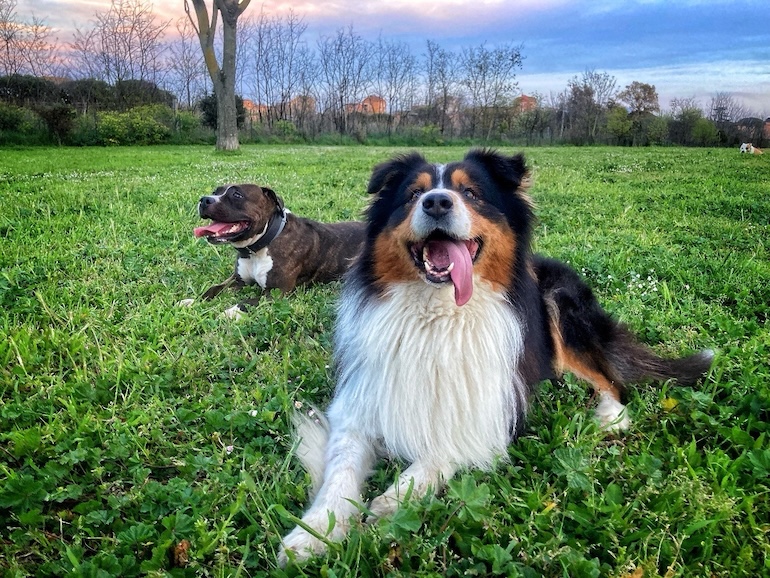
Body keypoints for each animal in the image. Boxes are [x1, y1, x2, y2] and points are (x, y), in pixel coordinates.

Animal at [188, 183, 364, 318]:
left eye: (237, 195)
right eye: (214, 192)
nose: (204, 200)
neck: (257, 248)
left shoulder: (275, 292)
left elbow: (247, 302)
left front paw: (229, 312)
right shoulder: (238, 280)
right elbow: (213, 288)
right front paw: (192, 301)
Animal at [278, 147, 712, 564]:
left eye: (471, 193)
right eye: (413, 194)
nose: (437, 202)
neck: (438, 315)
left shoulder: (490, 407)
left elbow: (443, 448)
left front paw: (392, 500)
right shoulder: (359, 403)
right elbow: (339, 473)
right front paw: (312, 534)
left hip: (559, 305)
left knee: (609, 378)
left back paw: (610, 416)